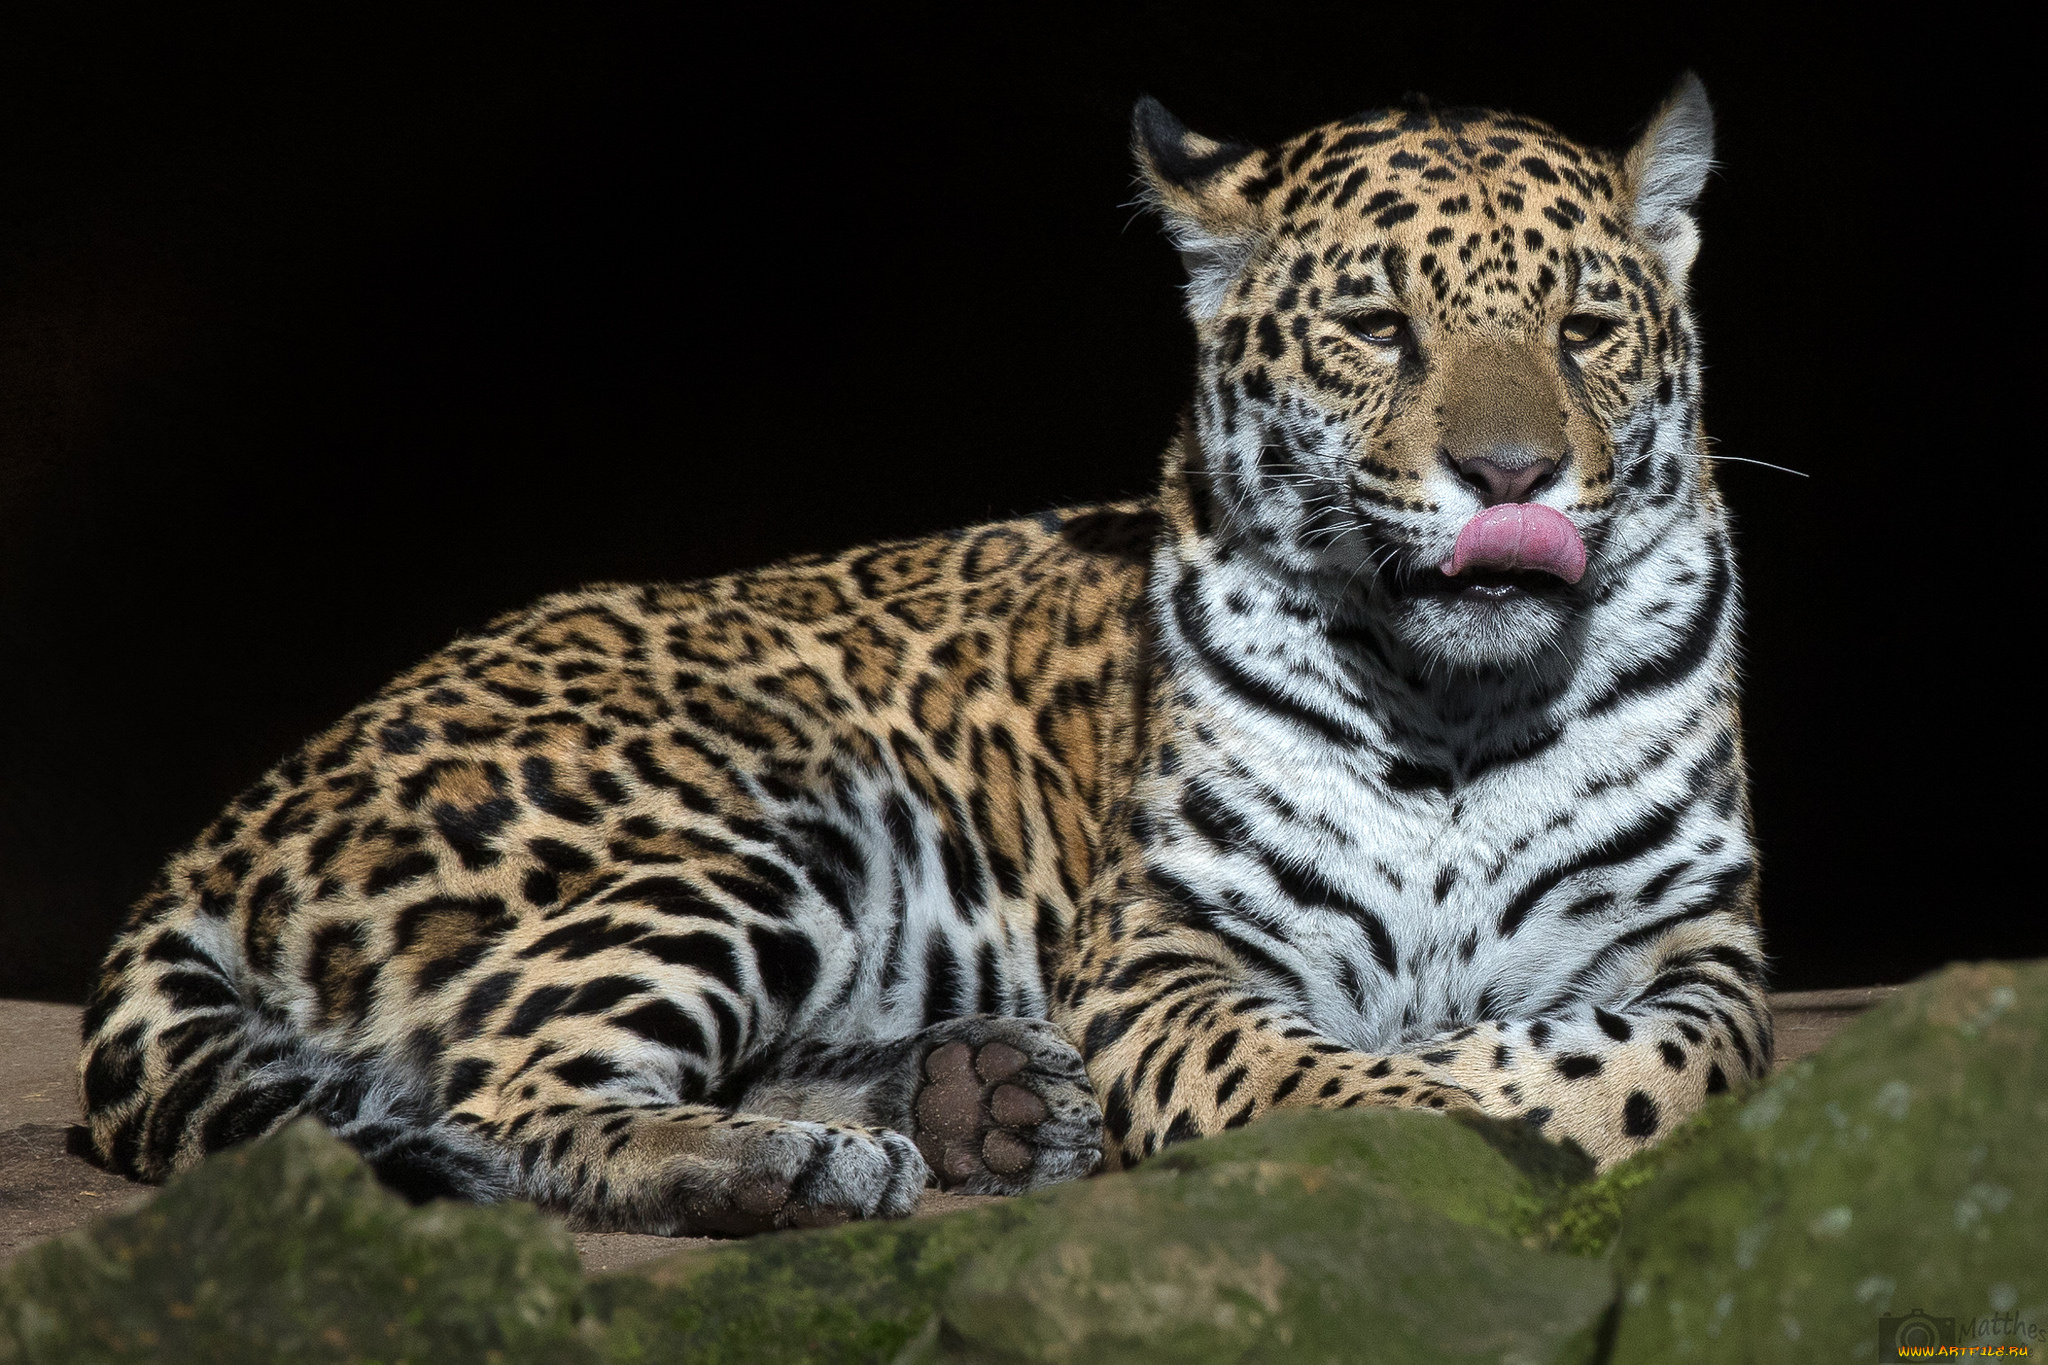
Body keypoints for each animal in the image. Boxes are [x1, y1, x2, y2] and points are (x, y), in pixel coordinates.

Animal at [78, 75, 1770, 1236]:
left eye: (1586, 331)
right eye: (1375, 326)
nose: (1511, 476)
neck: (1452, 707)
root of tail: (226, 828)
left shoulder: (1702, 950)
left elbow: (1648, 1065)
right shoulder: (1162, 956)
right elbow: (1347, 1078)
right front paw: (1441, 1114)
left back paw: (980, 1101)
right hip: (760, 825)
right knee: (507, 1088)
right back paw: (793, 1165)